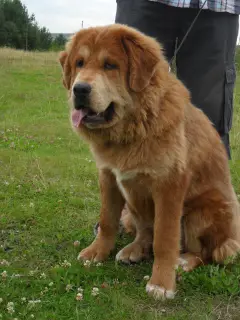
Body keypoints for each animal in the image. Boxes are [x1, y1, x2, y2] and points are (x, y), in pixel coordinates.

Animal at [58, 24, 240, 300]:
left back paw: (184, 261)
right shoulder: (109, 176)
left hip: (202, 213)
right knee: (144, 232)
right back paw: (133, 250)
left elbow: (164, 239)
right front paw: (96, 252)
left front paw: (162, 283)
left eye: (110, 65)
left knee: (208, 253)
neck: (136, 125)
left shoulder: (169, 186)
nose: (79, 89)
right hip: (133, 204)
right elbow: (108, 221)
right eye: (79, 63)